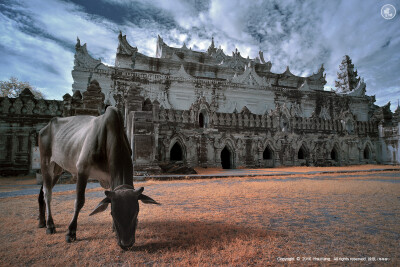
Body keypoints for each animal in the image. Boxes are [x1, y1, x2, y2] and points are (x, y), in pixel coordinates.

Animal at [38, 107, 159, 251]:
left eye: (137, 212)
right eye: (113, 213)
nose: (126, 244)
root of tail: (45, 127)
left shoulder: (110, 178)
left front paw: (113, 229)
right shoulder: (82, 170)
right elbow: (79, 201)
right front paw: (71, 232)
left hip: (58, 168)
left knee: (43, 191)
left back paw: (41, 221)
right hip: (46, 162)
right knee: (47, 193)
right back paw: (50, 225)